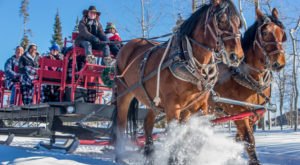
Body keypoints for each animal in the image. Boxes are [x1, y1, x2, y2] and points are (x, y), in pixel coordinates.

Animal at [112, 0, 244, 159]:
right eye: (222, 20)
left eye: (239, 22)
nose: (237, 56)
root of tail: (127, 45)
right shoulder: (173, 106)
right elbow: (174, 135)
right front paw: (174, 158)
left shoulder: (199, 105)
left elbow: (192, 135)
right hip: (124, 93)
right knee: (121, 124)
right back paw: (119, 155)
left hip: (153, 100)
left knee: (147, 123)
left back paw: (149, 152)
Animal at [210, 8, 288, 165]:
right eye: (265, 33)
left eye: (282, 33)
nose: (279, 63)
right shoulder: (239, 112)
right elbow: (249, 141)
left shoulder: (252, 114)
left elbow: (240, 139)